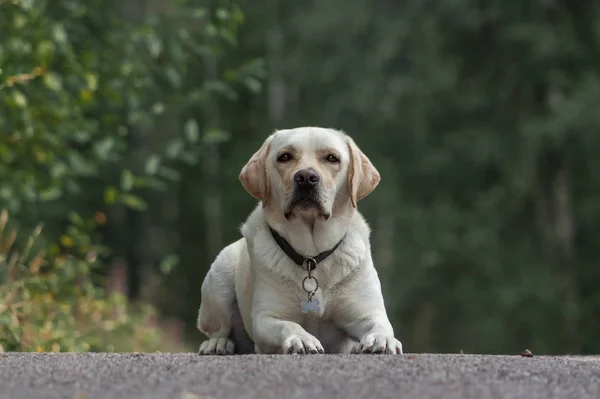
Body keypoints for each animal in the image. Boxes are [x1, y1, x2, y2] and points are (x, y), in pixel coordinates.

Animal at [198, 126, 404, 354]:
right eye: (285, 157)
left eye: (332, 158)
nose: (306, 177)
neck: (311, 256)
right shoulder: (265, 318)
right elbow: (289, 325)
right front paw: (302, 340)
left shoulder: (367, 313)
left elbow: (381, 325)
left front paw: (382, 340)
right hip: (219, 276)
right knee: (219, 329)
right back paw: (217, 344)